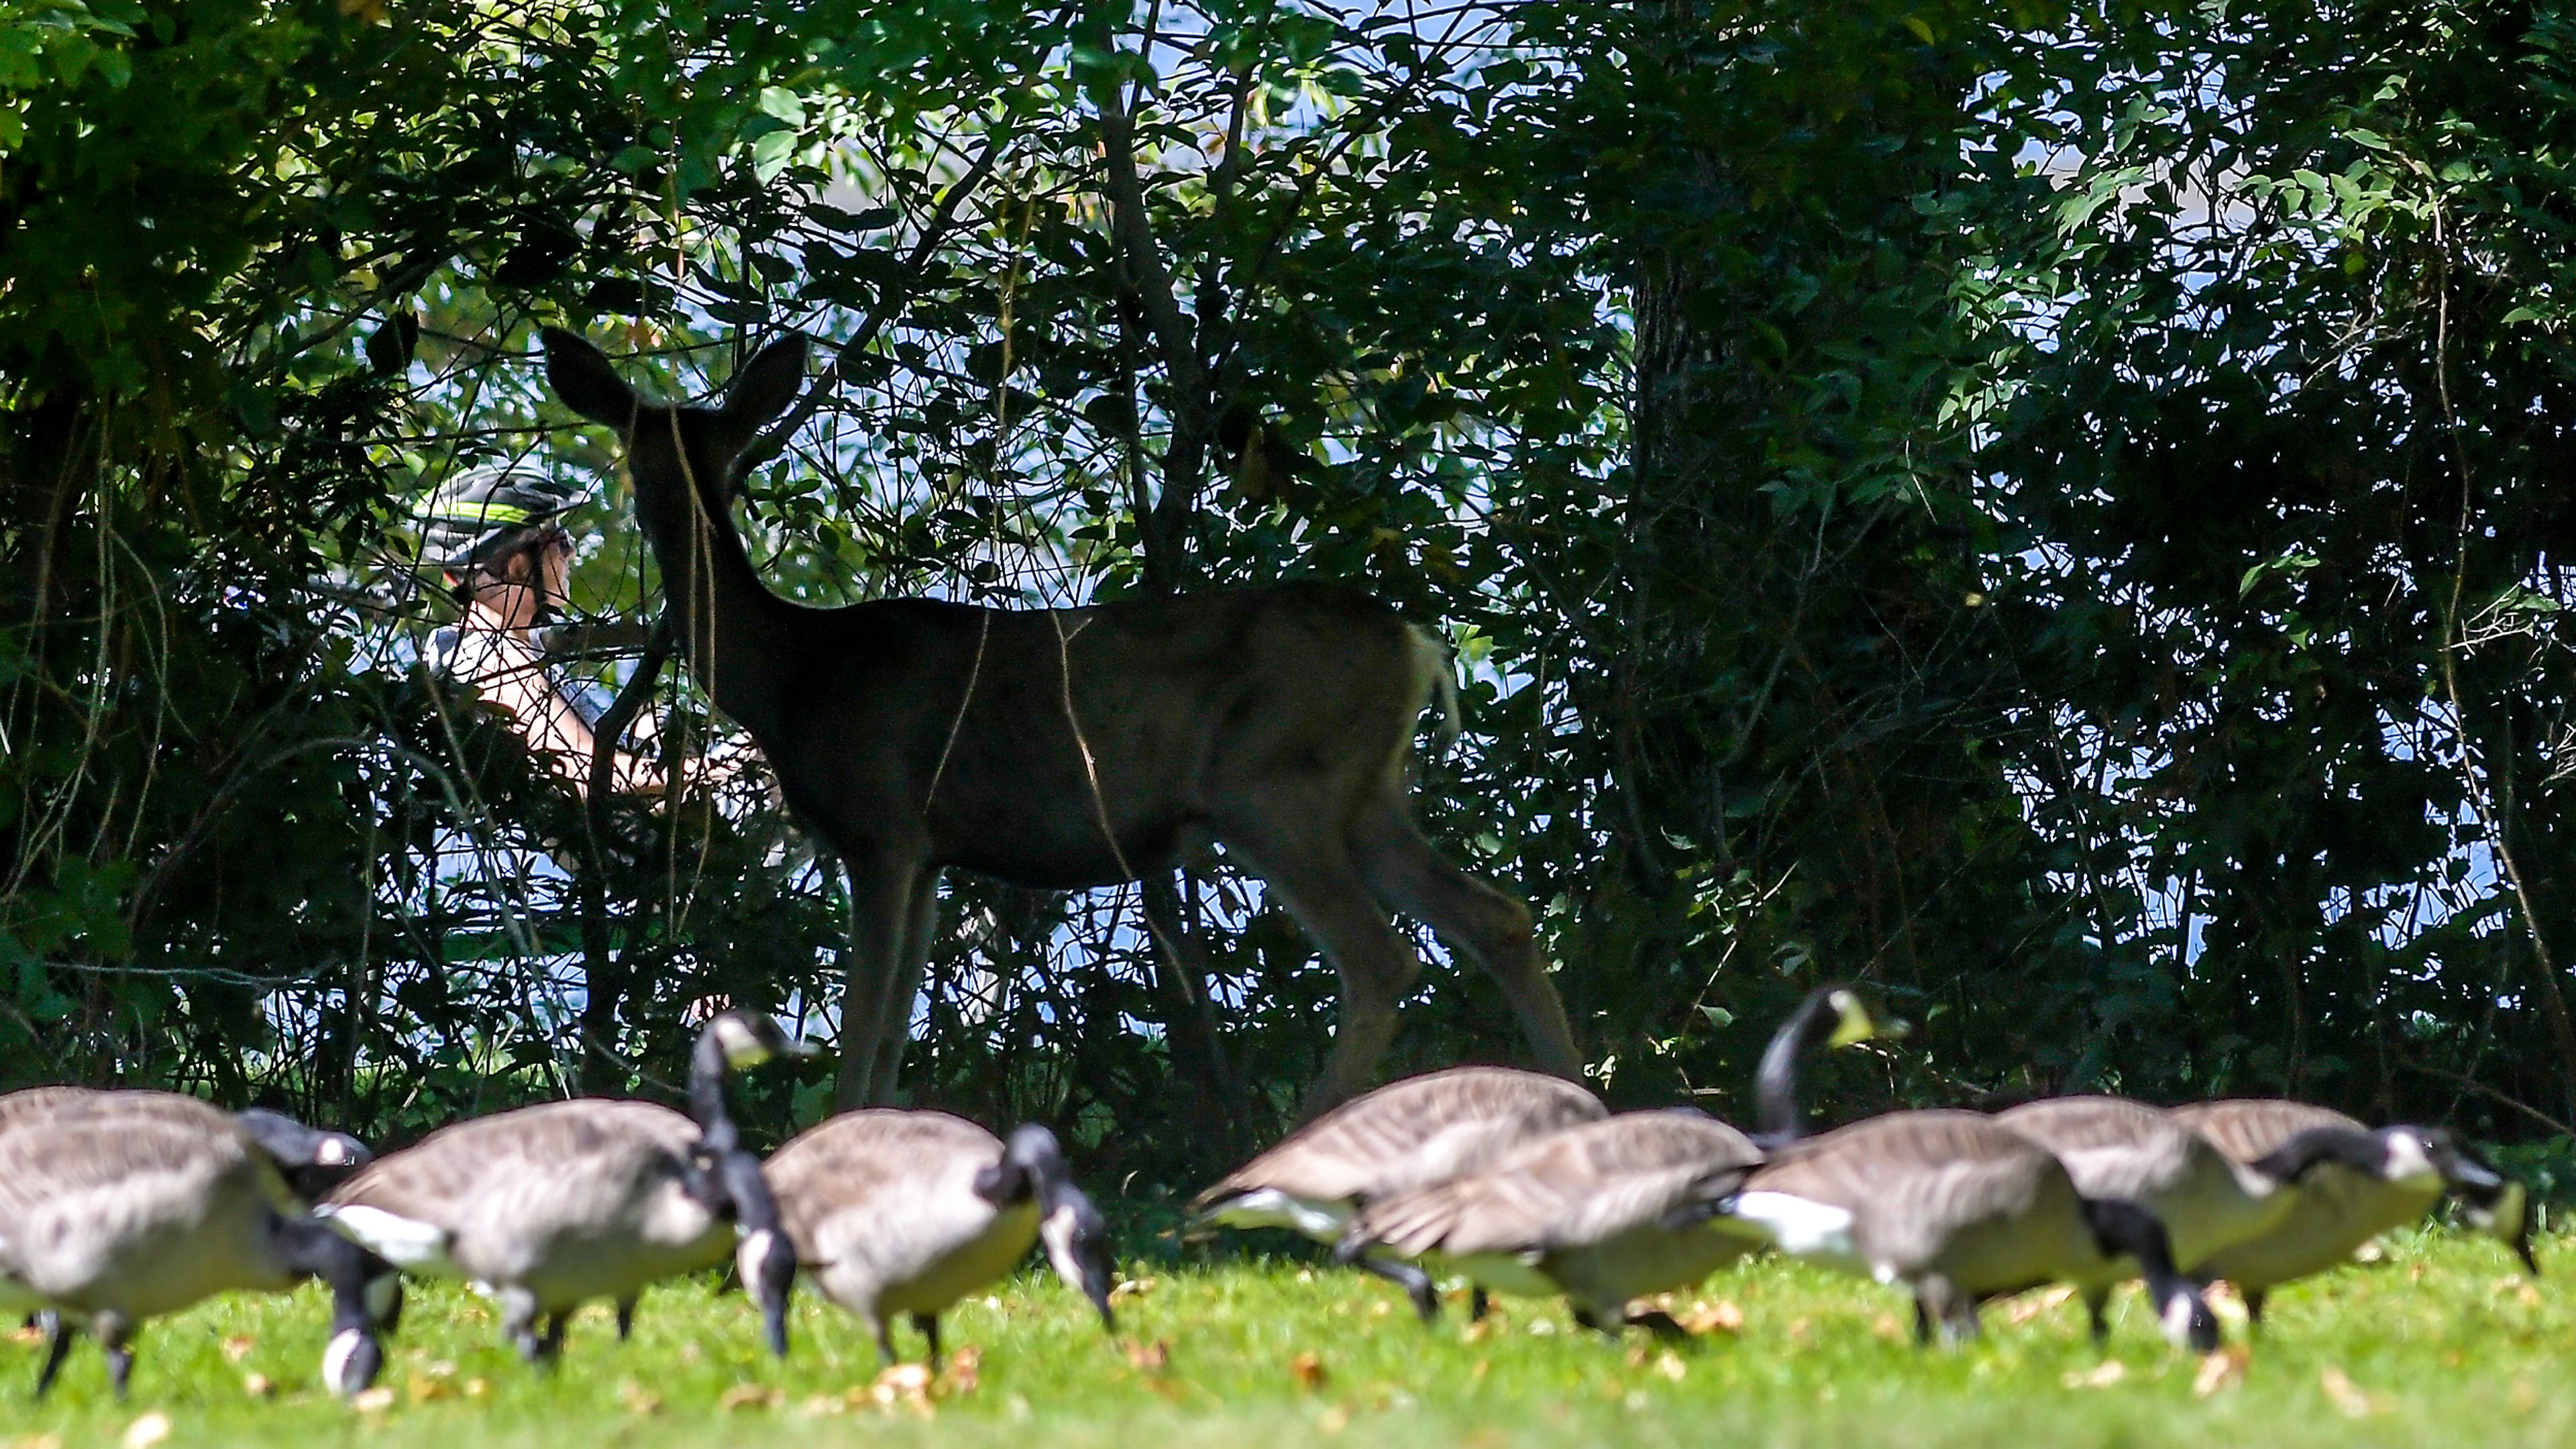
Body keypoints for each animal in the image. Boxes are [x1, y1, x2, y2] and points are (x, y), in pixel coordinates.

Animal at [541, 327, 1576, 1108]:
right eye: (646, 446)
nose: (648, 501)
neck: (790, 672)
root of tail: (1417, 644)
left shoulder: (881, 825)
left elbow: (864, 1028)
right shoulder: (931, 853)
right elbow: (893, 1035)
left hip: (1277, 787)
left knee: (1384, 958)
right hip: (1367, 793)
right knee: (1499, 916)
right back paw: (1579, 1104)